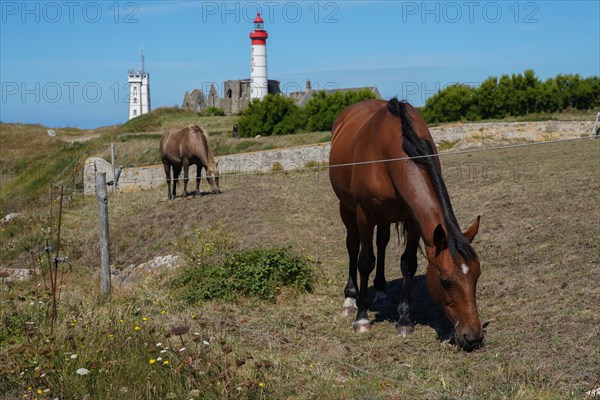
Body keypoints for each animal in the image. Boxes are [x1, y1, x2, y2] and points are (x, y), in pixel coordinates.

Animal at [330, 99, 486, 350]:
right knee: (353, 246)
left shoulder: (413, 221)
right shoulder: (365, 217)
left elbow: (408, 264)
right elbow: (365, 261)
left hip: (385, 217)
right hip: (347, 208)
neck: (388, 155)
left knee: (382, 243)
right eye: (445, 282)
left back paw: (381, 289)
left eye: (477, 276)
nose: (473, 336)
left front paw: (404, 320)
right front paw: (362, 317)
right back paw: (350, 298)